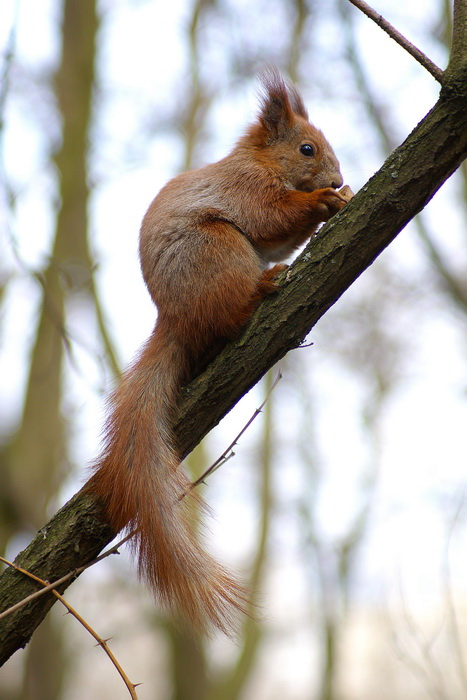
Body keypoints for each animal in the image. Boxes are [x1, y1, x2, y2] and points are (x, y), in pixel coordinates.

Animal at [88, 68, 350, 634]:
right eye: (306, 148)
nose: (337, 176)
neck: (262, 162)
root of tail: (176, 319)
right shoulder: (245, 190)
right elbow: (270, 217)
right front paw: (323, 202)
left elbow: (278, 237)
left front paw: (338, 201)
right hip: (218, 249)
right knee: (232, 313)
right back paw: (263, 289)